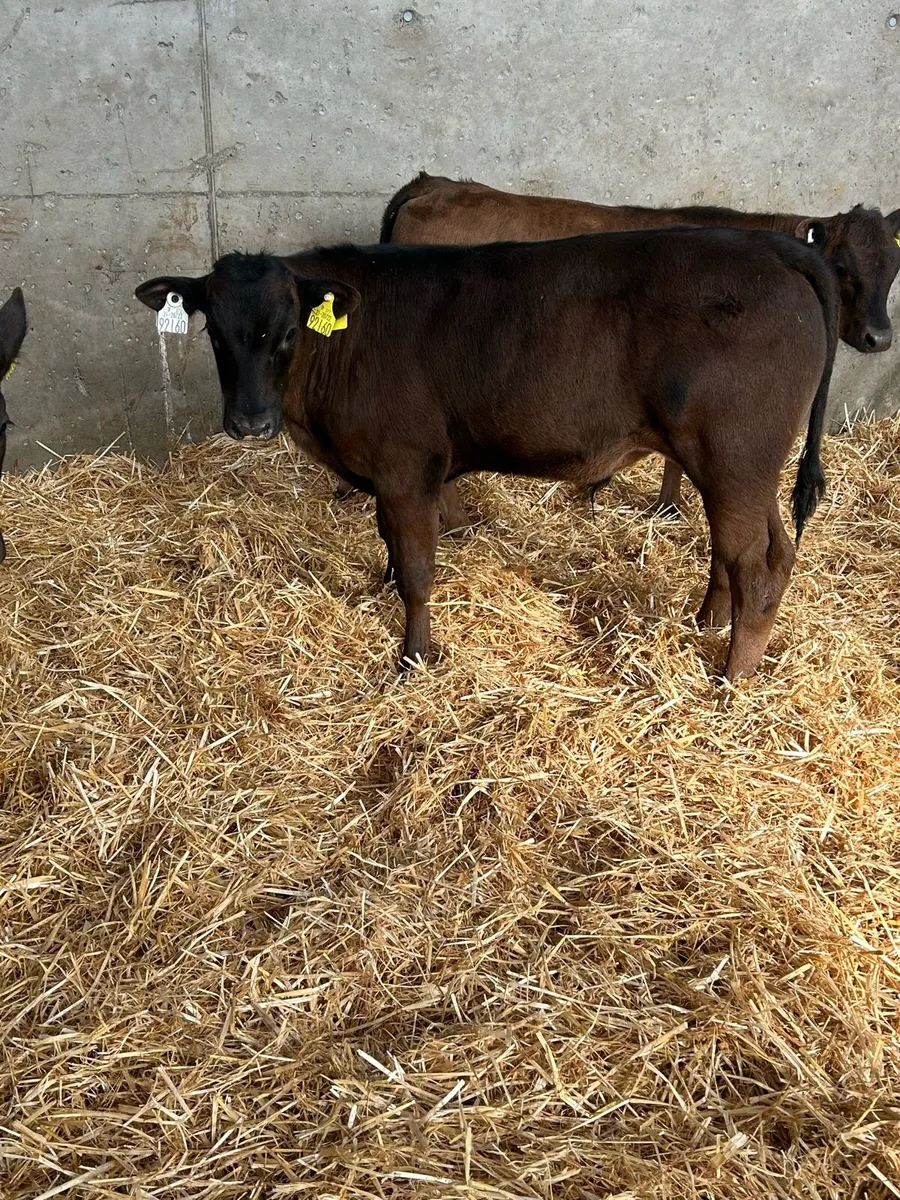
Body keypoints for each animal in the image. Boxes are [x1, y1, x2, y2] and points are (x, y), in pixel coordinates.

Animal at [136, 225, 838, 682]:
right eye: (214, 332)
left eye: (286, 333)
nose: (249, 420)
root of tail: (768, 247)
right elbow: (392, 547)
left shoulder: (407, 467)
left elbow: (418, 570)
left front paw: (414, 658)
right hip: (741, 466)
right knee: (761, 551)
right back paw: (707, 624)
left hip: (734, 454)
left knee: (755, 565)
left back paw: (731, 680)